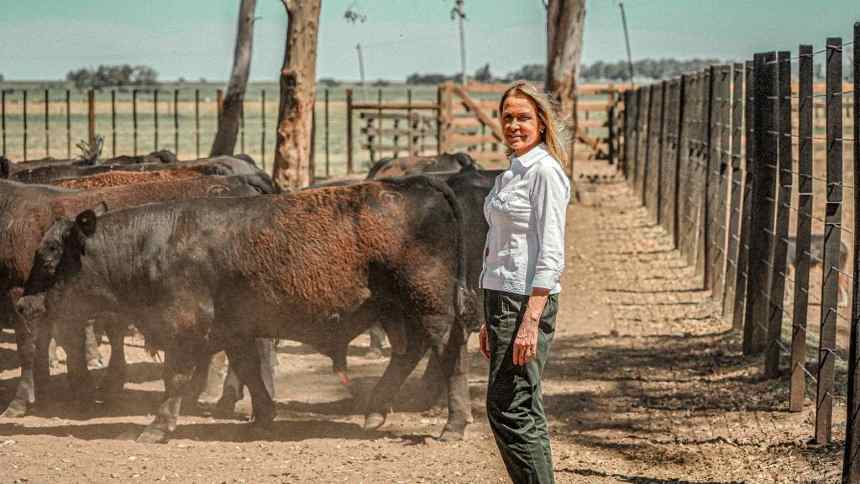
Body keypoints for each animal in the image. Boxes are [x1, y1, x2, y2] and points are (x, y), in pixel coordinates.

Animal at [20, 177, 474, 442]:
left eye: (49, 256)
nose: (23, 305)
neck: (155, 243)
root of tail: (420, 185)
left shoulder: (184, 327)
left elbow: (175, 377)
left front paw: (157, 426)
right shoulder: (233, 330)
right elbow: (250, 371)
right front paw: (263, 417)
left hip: (431, 305)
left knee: (448, 352)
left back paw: (453, 425)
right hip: (399, 308)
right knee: (409, 351)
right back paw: (376, 411)